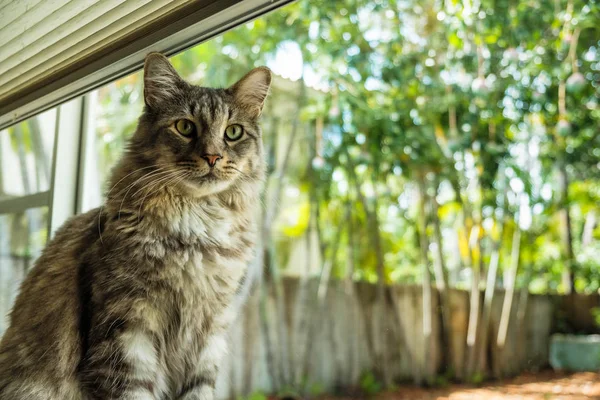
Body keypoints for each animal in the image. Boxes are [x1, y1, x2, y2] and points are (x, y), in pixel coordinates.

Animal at [0, 53, 272, 400]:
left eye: (233, 132)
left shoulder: (209, 336)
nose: (212, 157)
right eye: (185, 127)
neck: (198, 234)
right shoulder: (127, 332)